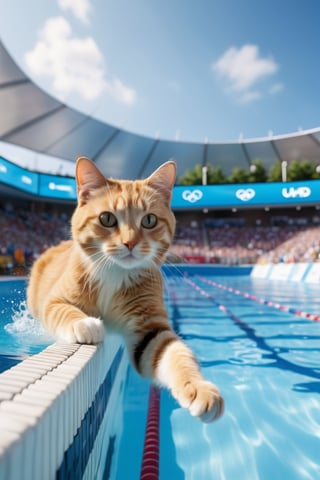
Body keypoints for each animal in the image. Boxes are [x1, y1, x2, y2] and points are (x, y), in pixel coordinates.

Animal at [27, 157, 222, 420]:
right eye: (107, 218)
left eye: (149, 220)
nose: (130, 243)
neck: (114, 273)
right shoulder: (56, 299)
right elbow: (64, 310)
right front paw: (84, 324)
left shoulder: (150, 330)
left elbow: (176, 355)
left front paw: (199, 388)